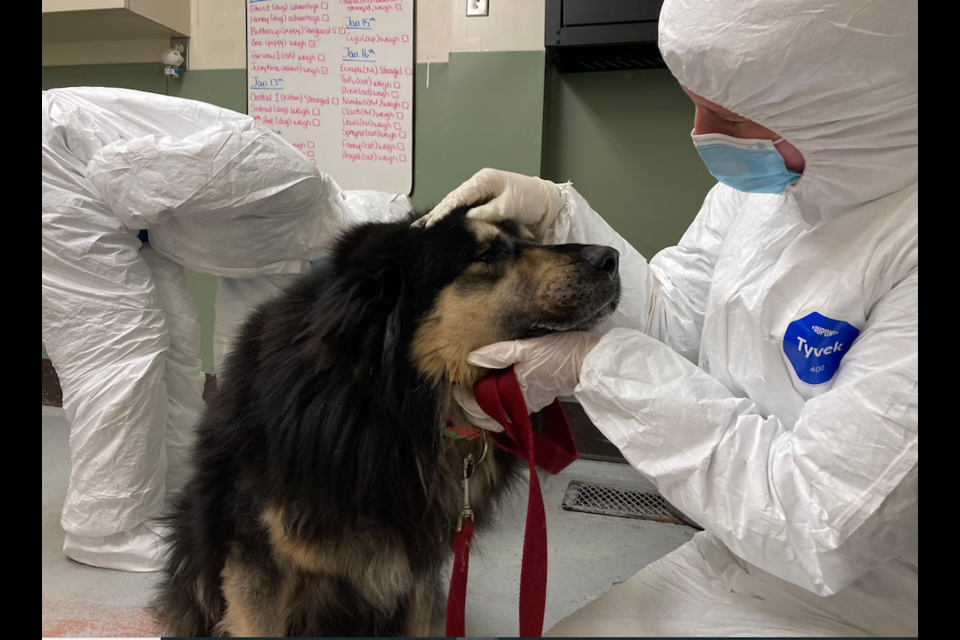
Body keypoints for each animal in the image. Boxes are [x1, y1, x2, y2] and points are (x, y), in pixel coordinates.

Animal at [153, 206, 620, 636]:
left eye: (529, 238)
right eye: (487, 254)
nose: (612, 257)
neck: (391, 404)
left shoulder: (419, 567)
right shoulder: (258, 559)